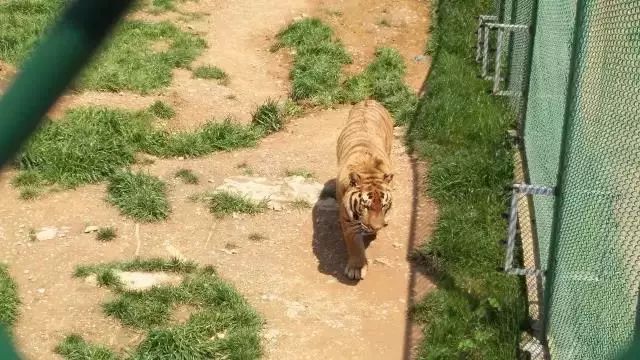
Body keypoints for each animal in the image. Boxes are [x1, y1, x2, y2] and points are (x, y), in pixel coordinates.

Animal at [338, 99, 392, 282]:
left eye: (384, 205)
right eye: (365, 206)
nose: (376, 228)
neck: (369, 171)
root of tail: (368, 99)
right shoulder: (348, 219)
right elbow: (354, 244)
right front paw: (356, 268)